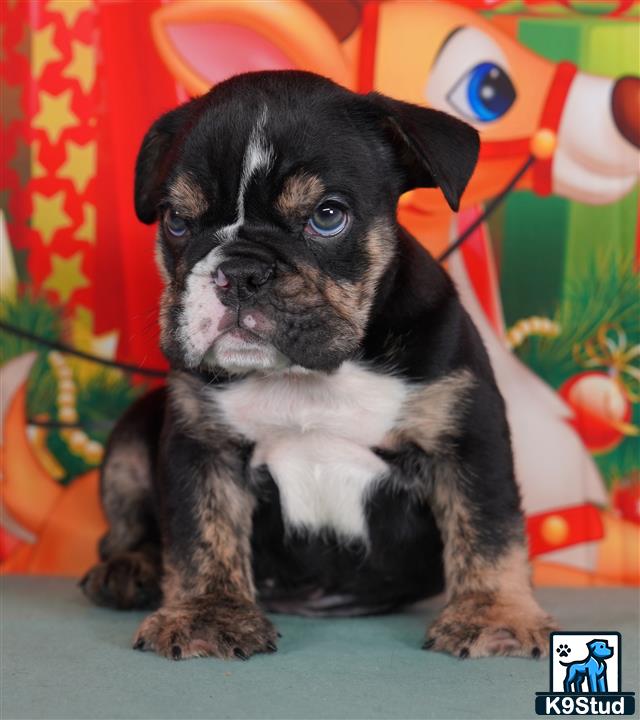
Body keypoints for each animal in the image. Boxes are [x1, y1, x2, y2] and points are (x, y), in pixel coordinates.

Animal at [81, 70, 556, 660]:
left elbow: (488, 527)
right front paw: (207, 615)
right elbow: (201, 535)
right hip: (128, 442)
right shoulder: (204, 445)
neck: (310, 375)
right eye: (176, 221)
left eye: (328, 216)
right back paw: (131, 568)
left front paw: (494, 616)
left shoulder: (466, 436)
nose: (241, 271)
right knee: (125, 527)